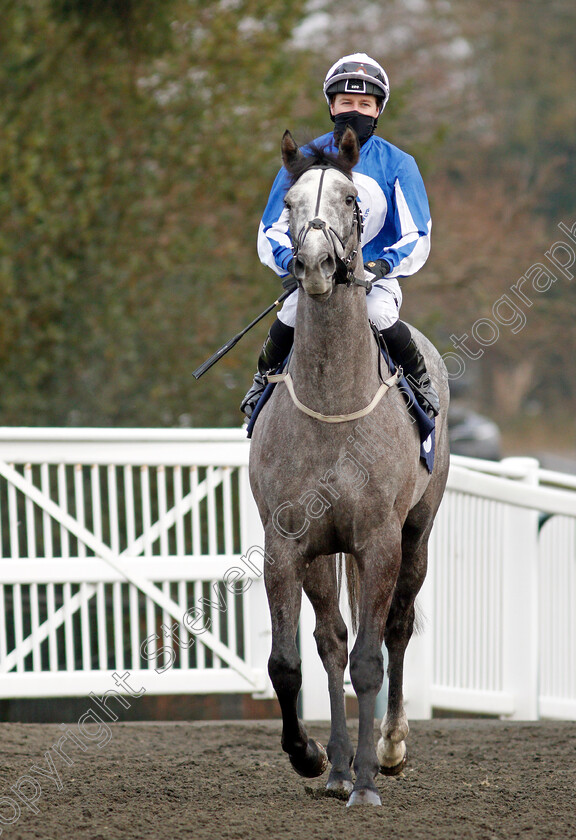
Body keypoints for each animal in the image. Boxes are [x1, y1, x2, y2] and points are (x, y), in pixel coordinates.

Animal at [248, 126, 450, 808]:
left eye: (350, 199)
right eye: (288, 203)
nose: (311, 265)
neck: (334, 406)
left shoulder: (380, 540)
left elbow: (371, 659)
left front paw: (367, 780)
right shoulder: (288, 542)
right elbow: (290, 662)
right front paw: (310, 756)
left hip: (416, 535)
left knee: (396, 628)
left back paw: (385, 751)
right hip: (324, 552)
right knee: (332, 642)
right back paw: (337, 766)